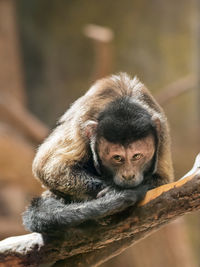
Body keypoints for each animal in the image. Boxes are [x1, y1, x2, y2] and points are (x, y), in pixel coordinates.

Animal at [23, 72, 173, 233]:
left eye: (136, 156)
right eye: (117, 158)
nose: (128, 175)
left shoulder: (162, 133)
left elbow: (163, 181)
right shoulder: (81, 124)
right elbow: (46, 167)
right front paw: (113, 192)